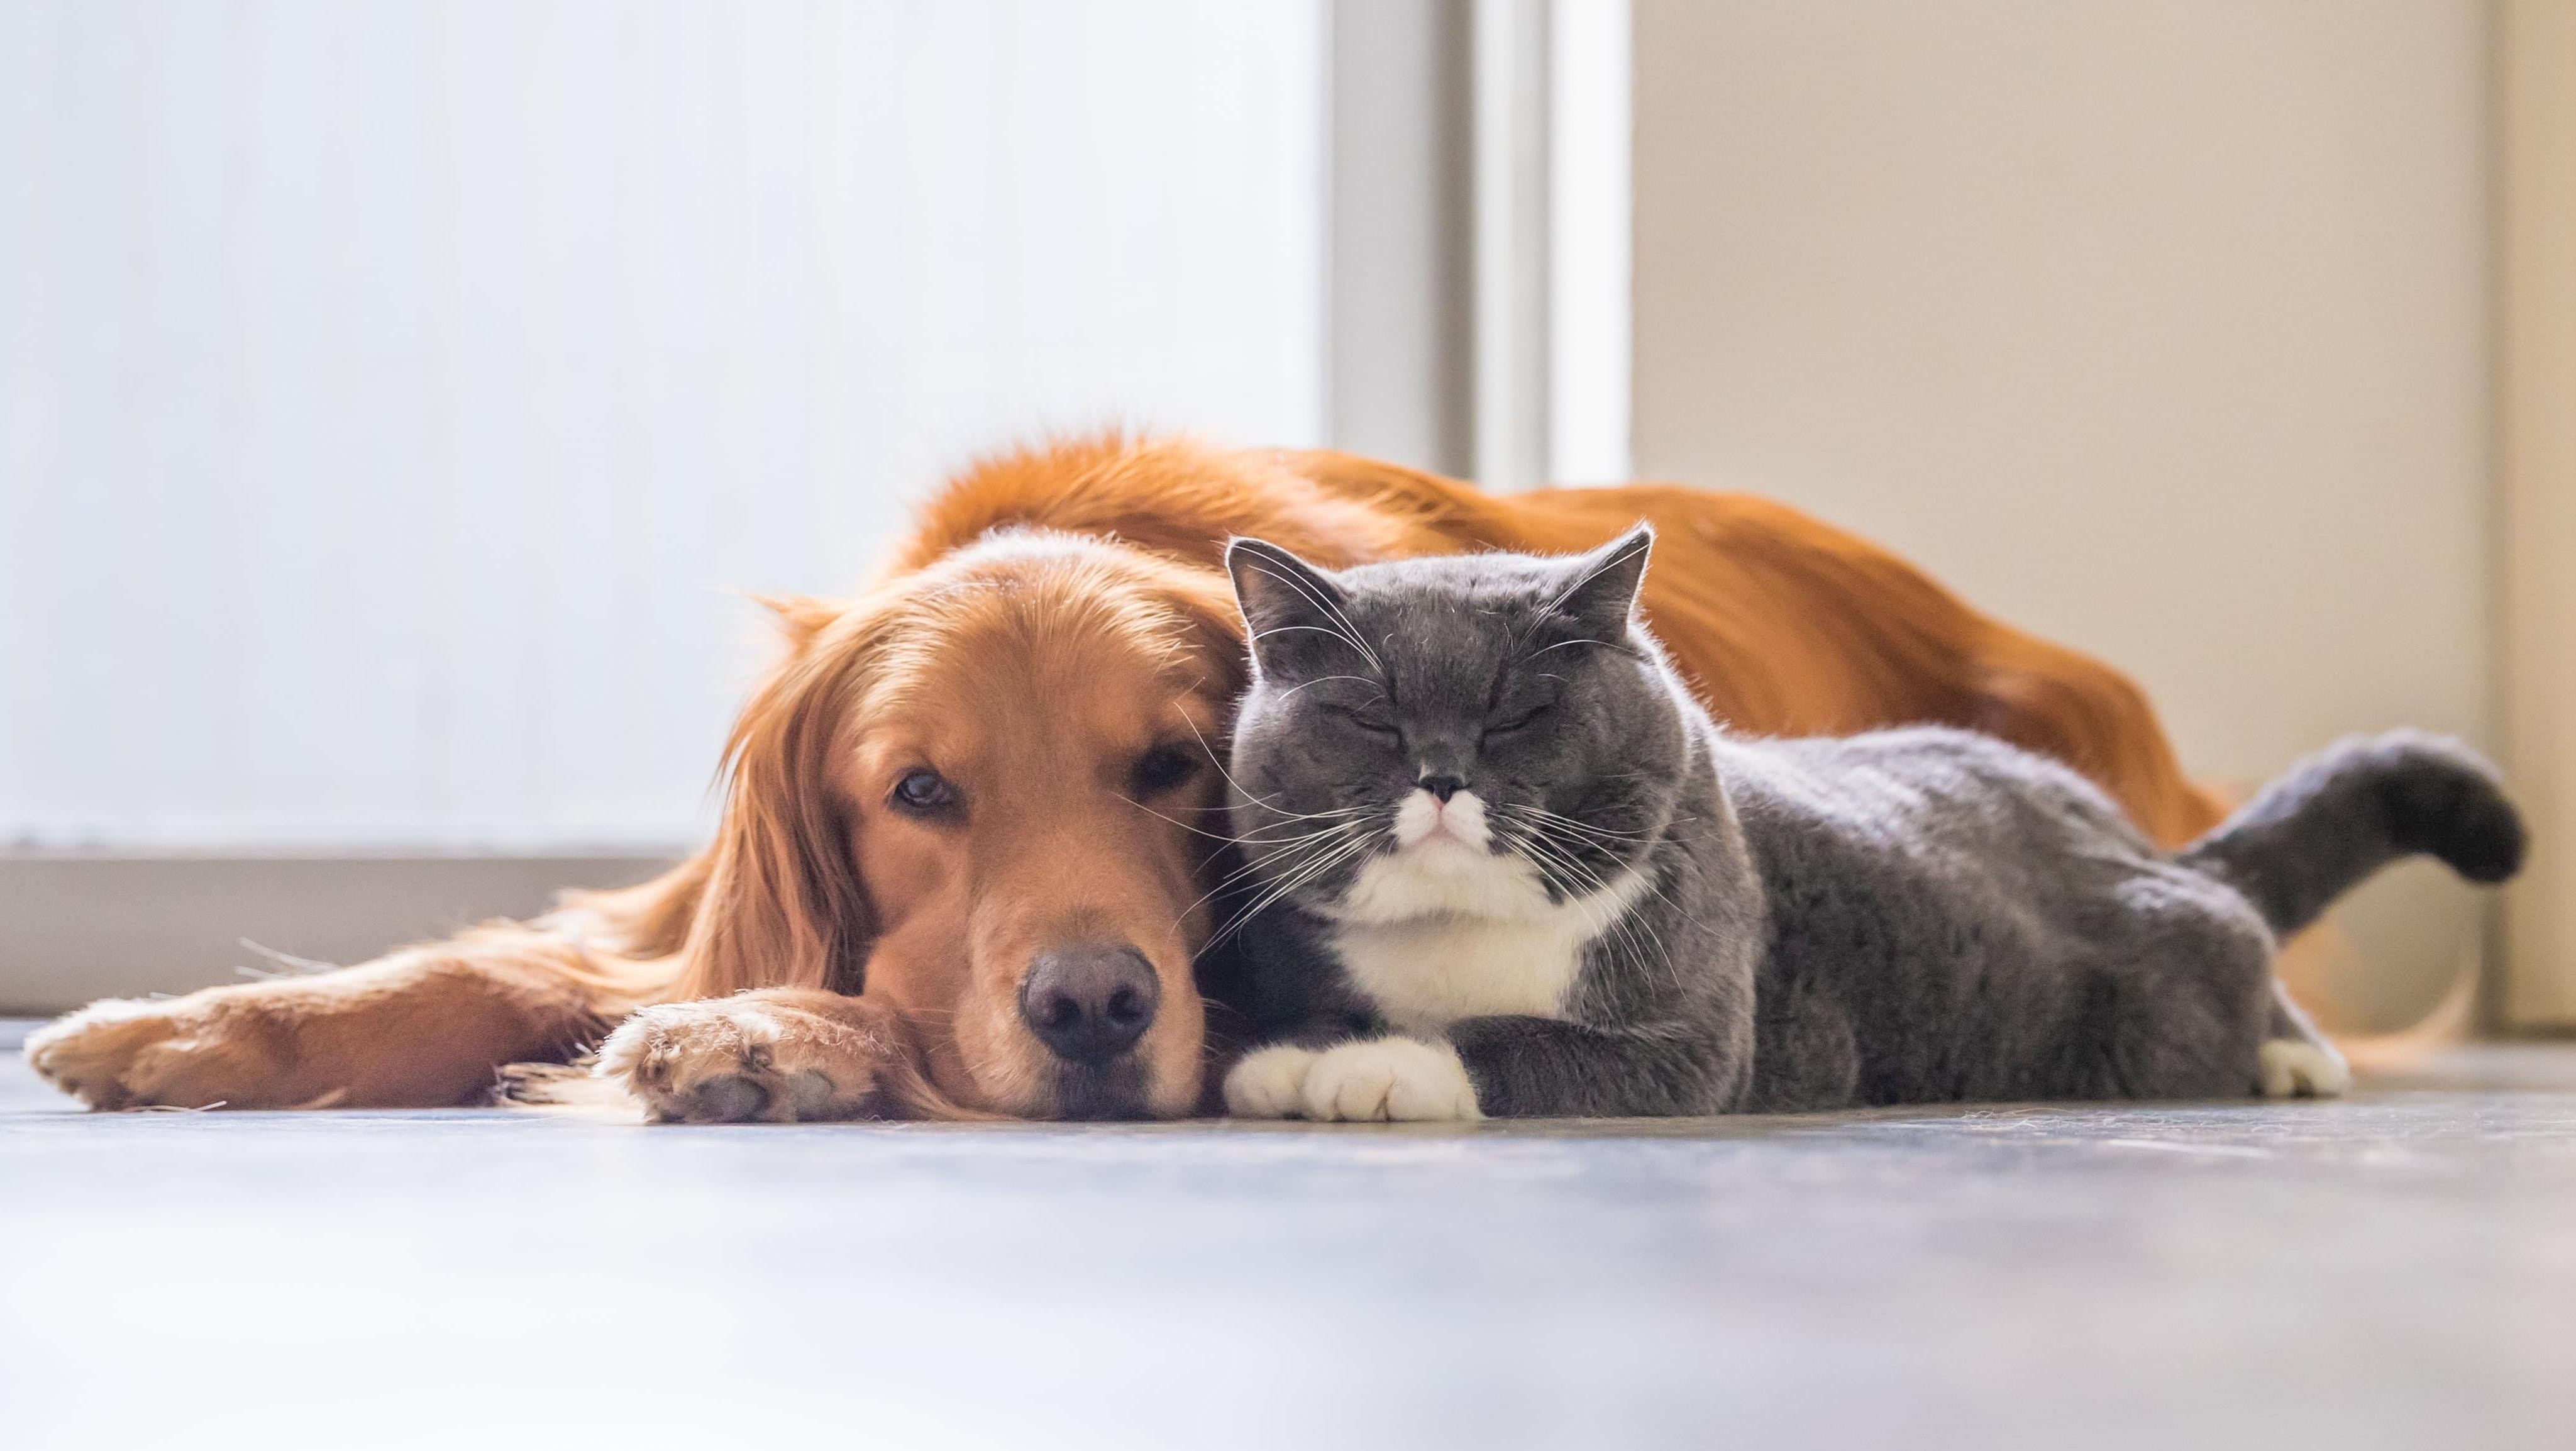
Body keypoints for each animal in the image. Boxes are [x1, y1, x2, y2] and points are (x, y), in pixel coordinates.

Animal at [1215, 525, 2524, 1123]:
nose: (1441, 776)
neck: (1459, 935)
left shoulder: (1692, 1040)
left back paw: (2295, 1055)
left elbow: (1503, 1041)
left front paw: (1360, 1069)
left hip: (2161, 976)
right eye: (1373, 720)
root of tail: (2119, 829)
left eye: (1518, 714)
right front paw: (1296, 1050)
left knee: (2237, 932)